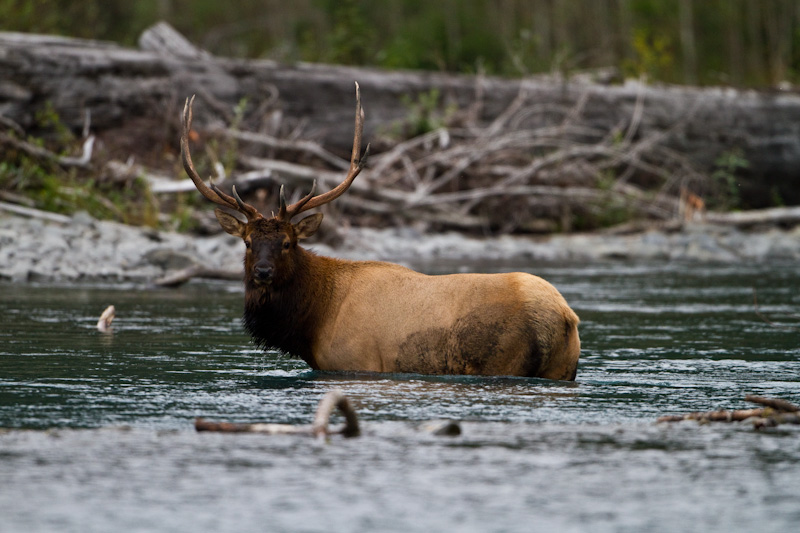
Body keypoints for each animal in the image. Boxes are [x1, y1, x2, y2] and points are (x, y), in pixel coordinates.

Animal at [181, 83, 580, 378]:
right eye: (248, 243)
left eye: (287, 243)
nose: (263, 272)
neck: (312, 322)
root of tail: (565, 315)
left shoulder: (355, 362)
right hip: (563, 368)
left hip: (504, 359)